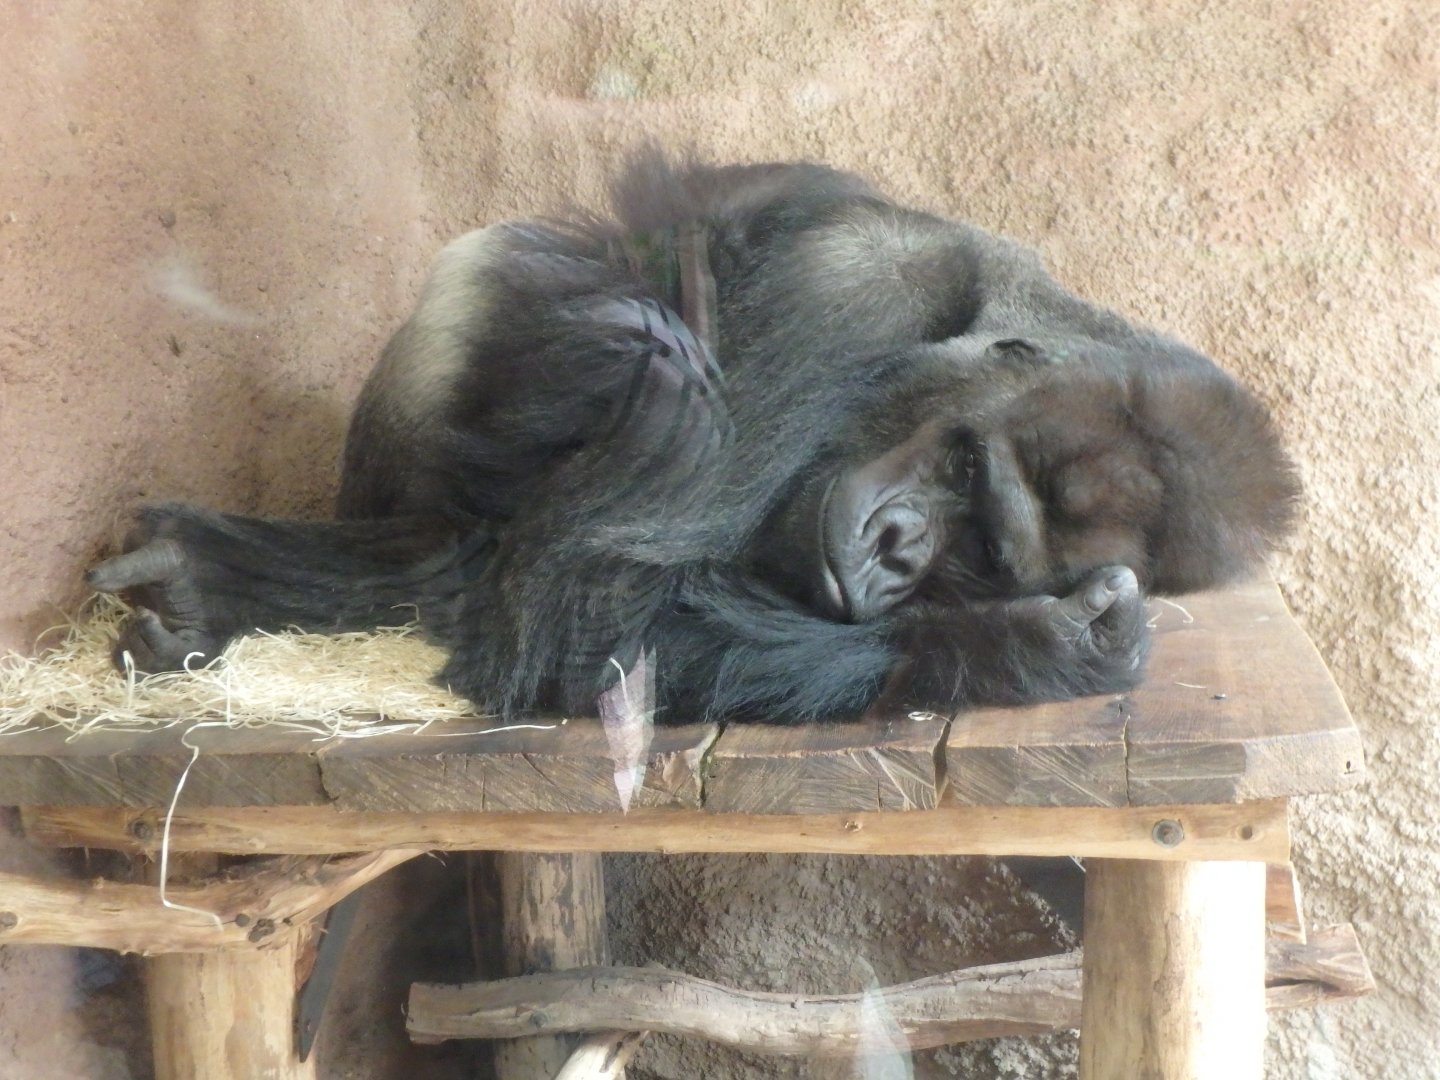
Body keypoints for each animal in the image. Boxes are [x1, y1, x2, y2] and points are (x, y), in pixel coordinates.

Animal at [88, 157, 1298, 724]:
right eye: (961, 464)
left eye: (986, 558)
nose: (898, 548)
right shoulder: (853, 287)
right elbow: (585, 602)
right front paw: (1040, 650)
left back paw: (221, 581)